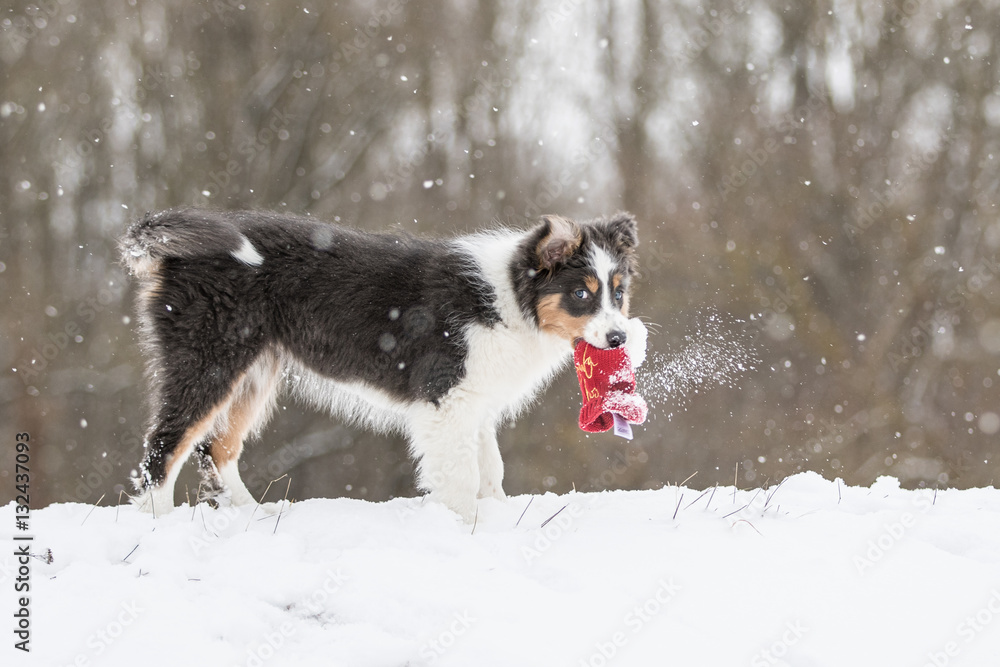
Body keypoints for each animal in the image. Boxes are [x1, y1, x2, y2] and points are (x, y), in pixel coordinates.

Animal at [119, 209, 648, 520]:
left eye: (618, 292)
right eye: (582, 294)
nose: (619, 338)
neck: (508, 299)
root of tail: (174, 253)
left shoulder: (473, 402)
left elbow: (490, 470)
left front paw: (497, 516)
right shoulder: (445, 398)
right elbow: (462, 476)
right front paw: (467, 529)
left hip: (255, 369)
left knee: (217, 448)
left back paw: (255, 517)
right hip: (208, 358)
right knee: (163, 447)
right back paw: (160, 524)